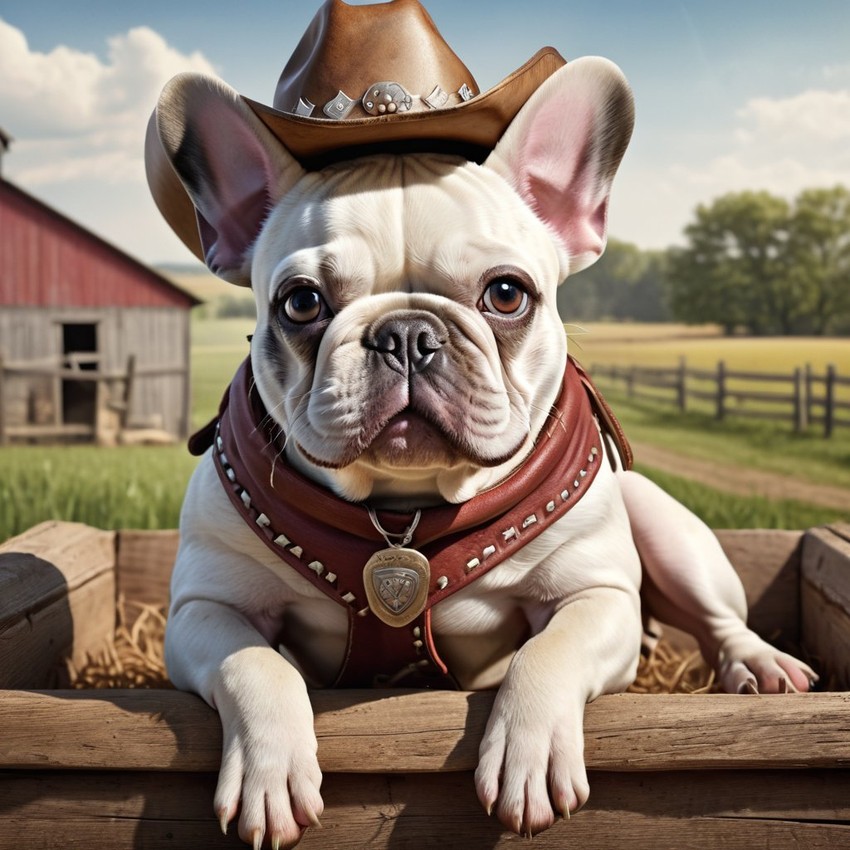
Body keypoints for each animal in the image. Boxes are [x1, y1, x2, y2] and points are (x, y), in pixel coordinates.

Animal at [147, 8, 816, 848]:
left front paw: (528, 757)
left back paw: (761, 665)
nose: (405, 333)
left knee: (722, 618)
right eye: (300, 303)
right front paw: (271, 773)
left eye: (506, 294)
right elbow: (254, 663)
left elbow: (549, 652)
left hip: (669, 532)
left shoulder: (599, 598)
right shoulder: (204, 612)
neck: (402, 511)